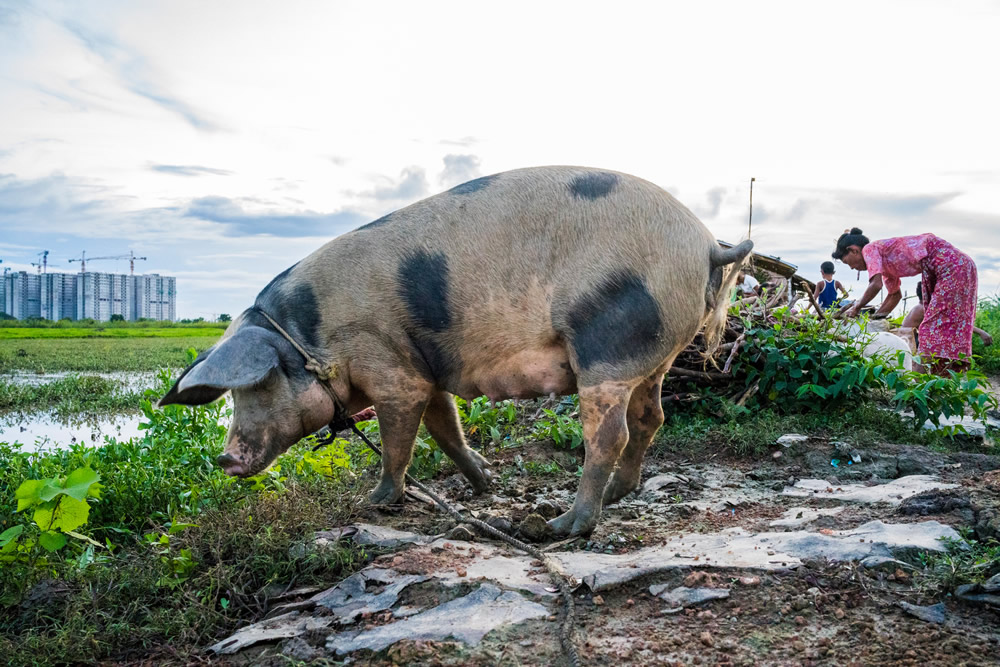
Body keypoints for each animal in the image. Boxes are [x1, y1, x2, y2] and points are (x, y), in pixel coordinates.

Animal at [158, 167, 752, 536]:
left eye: (255, 388)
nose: (224, 458)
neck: (310, 342)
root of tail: (707, 243)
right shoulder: (424, 368)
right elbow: (445, 430)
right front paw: (485, 482)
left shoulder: (391, 371)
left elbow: (398, 443)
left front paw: (375, 502)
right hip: (656, 357)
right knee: (651, 418)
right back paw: (620, 496)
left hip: (607, 348)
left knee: (610, 434)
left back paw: (566, 525)